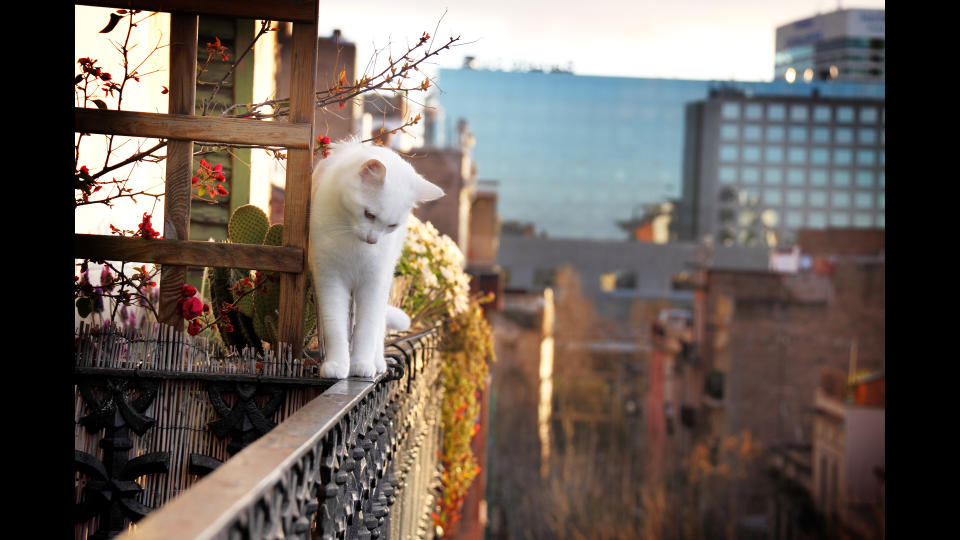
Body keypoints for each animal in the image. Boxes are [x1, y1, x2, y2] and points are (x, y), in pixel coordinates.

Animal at [308, 139, 442, 380]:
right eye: (369, 214)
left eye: (392, 225)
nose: (372, 240)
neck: (354, 245)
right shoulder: (330, 279)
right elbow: (335, 326)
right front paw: (337, 364)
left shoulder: (373, 284)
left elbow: (367, 329)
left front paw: (361, 365)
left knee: (378, 328)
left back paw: (377, 362)